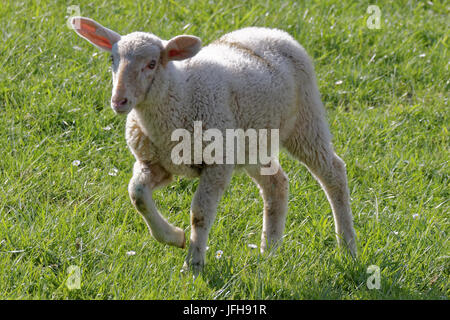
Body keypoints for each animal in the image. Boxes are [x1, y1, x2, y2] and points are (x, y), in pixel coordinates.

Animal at [71, 16, 358, 274]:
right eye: (112, 60)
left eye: (151, 64)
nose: (119, 101)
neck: (179, 95)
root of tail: (273, 31)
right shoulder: (155, 164)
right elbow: (138, 194)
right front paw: (174, 237)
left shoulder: (216, 164)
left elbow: (199, 214)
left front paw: (193, 265)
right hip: (250, 144)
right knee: (276, 183)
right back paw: (269, 252)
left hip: (305, 121)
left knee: (333, 173)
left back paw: (347, 247)